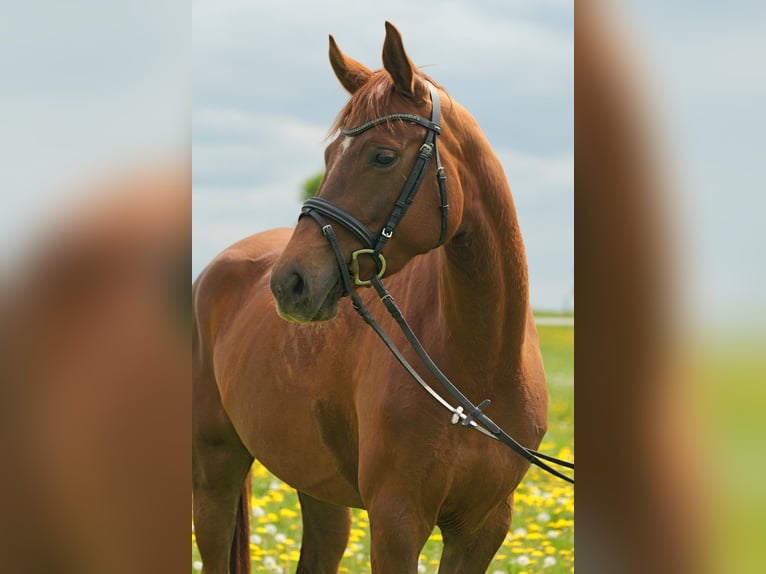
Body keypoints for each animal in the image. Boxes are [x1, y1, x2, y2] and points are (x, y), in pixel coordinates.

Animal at [192, 22, 548, 574]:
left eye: (383, 156)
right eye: (327, 157)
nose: (289, 282)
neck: (479, 374)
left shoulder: (483, 528)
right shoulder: (397, 522)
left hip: (317, 487)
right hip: (215, 466)